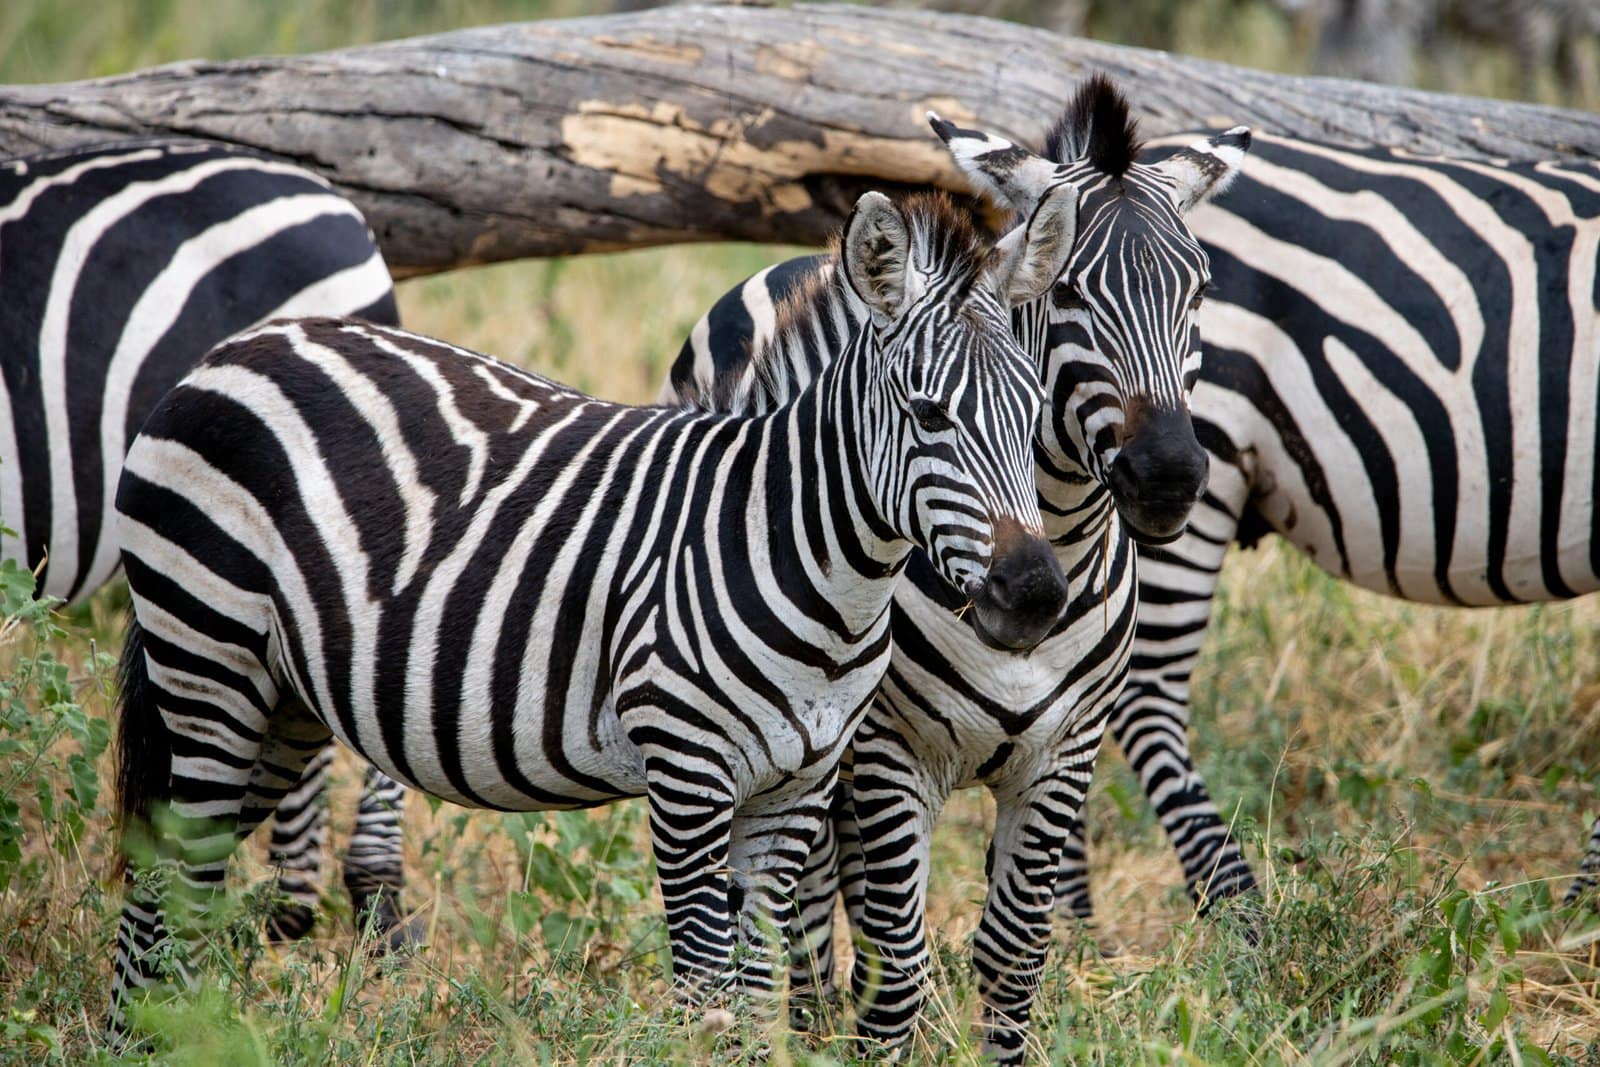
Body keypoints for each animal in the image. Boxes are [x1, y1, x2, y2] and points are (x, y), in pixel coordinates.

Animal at [106, 188, 1077, 1038]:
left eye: (1036, 413)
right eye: (929, 414)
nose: (1034, 595)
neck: (804, 557)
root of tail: (237, 350)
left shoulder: (795, 789)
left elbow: (757, 992)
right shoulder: (687, 775)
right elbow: (707, 997)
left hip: (285, 701)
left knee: (163, 875)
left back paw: (150, 1035)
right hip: (210, 656)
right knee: (174, 870)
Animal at [664, 79, 1249, 1061]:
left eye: (1200, 290)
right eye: (1069, 292)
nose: (1168, 474)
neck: (1051, 542)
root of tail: (794, 263)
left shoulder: (1061, 753)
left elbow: (1013, 953)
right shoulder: (888, 750)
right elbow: (894, 954)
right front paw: (866, 1034)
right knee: (814, 899)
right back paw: (812, 1017)